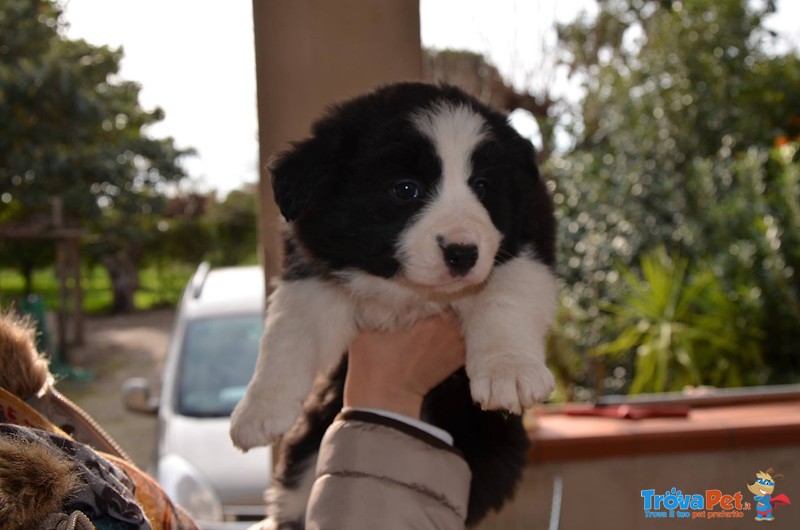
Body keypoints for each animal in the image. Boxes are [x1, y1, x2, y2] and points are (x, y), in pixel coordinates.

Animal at [231, 81, 556, 524]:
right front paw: (257, 410)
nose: (463, 253)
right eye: (406, 189)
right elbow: (287, 332)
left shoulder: (528, 239)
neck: (407, 292)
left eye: (482, 186)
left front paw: (511, 371)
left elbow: (504, 295)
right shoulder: (312, 273)